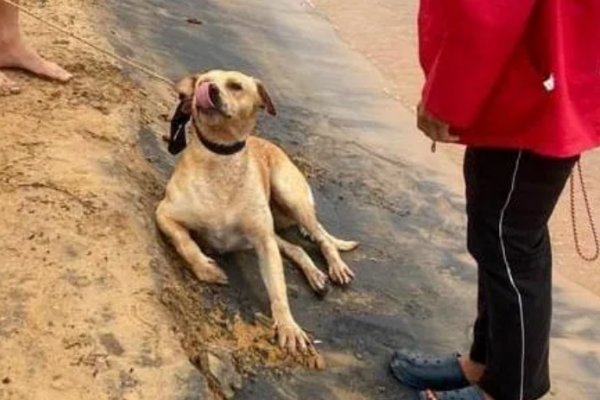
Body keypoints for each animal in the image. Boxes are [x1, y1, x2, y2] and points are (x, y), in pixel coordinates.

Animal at [157, 70, 358, 352]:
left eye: (236, 86)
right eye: (203, 81)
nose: (209, 89)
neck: (221, 160)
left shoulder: (264, 242)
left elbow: (278, 289)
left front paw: (288, 326)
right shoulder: (165, 213)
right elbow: (184, 242)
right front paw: (207, 269)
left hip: (290, 196)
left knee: (321, 237)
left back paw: (335, 267)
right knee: (296, 248)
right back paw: (315, 275)